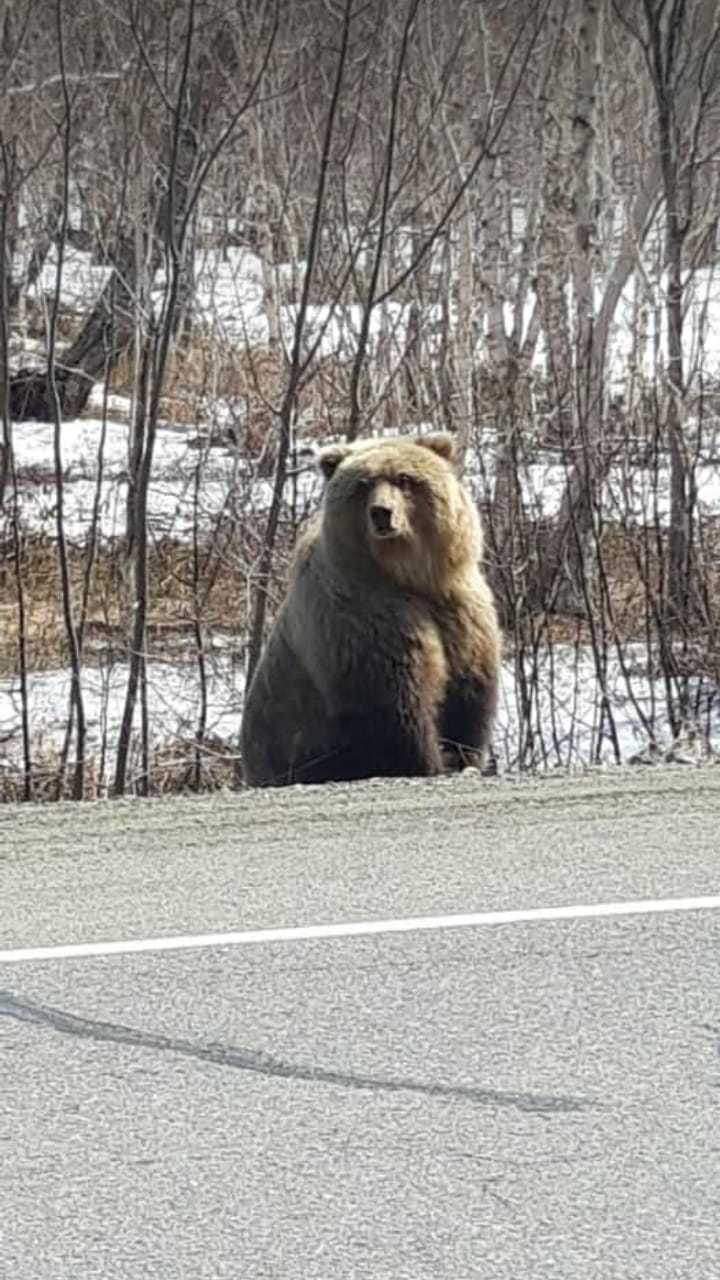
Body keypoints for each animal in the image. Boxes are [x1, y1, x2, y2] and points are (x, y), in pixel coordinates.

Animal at [240, 435, 499, 783]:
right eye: (363, 483)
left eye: (405, 479)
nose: (381, 513)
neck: (410, 576)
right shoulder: (364, 614)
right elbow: (395, 701)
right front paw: (427, 762)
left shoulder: (460, 610)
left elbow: (469, 694)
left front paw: (462, 756)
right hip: (295, 745)